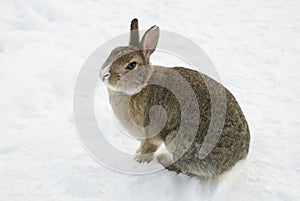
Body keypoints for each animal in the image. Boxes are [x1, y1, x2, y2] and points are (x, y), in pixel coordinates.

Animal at [99, 18, 250, 177]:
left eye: (132, 65)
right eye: (113, 52)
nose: (104, 75)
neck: (140, 87)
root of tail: (236, 162)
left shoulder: (151, 133)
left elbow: (149, 146)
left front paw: (139, 159)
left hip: (176, 140)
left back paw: (163, 160)